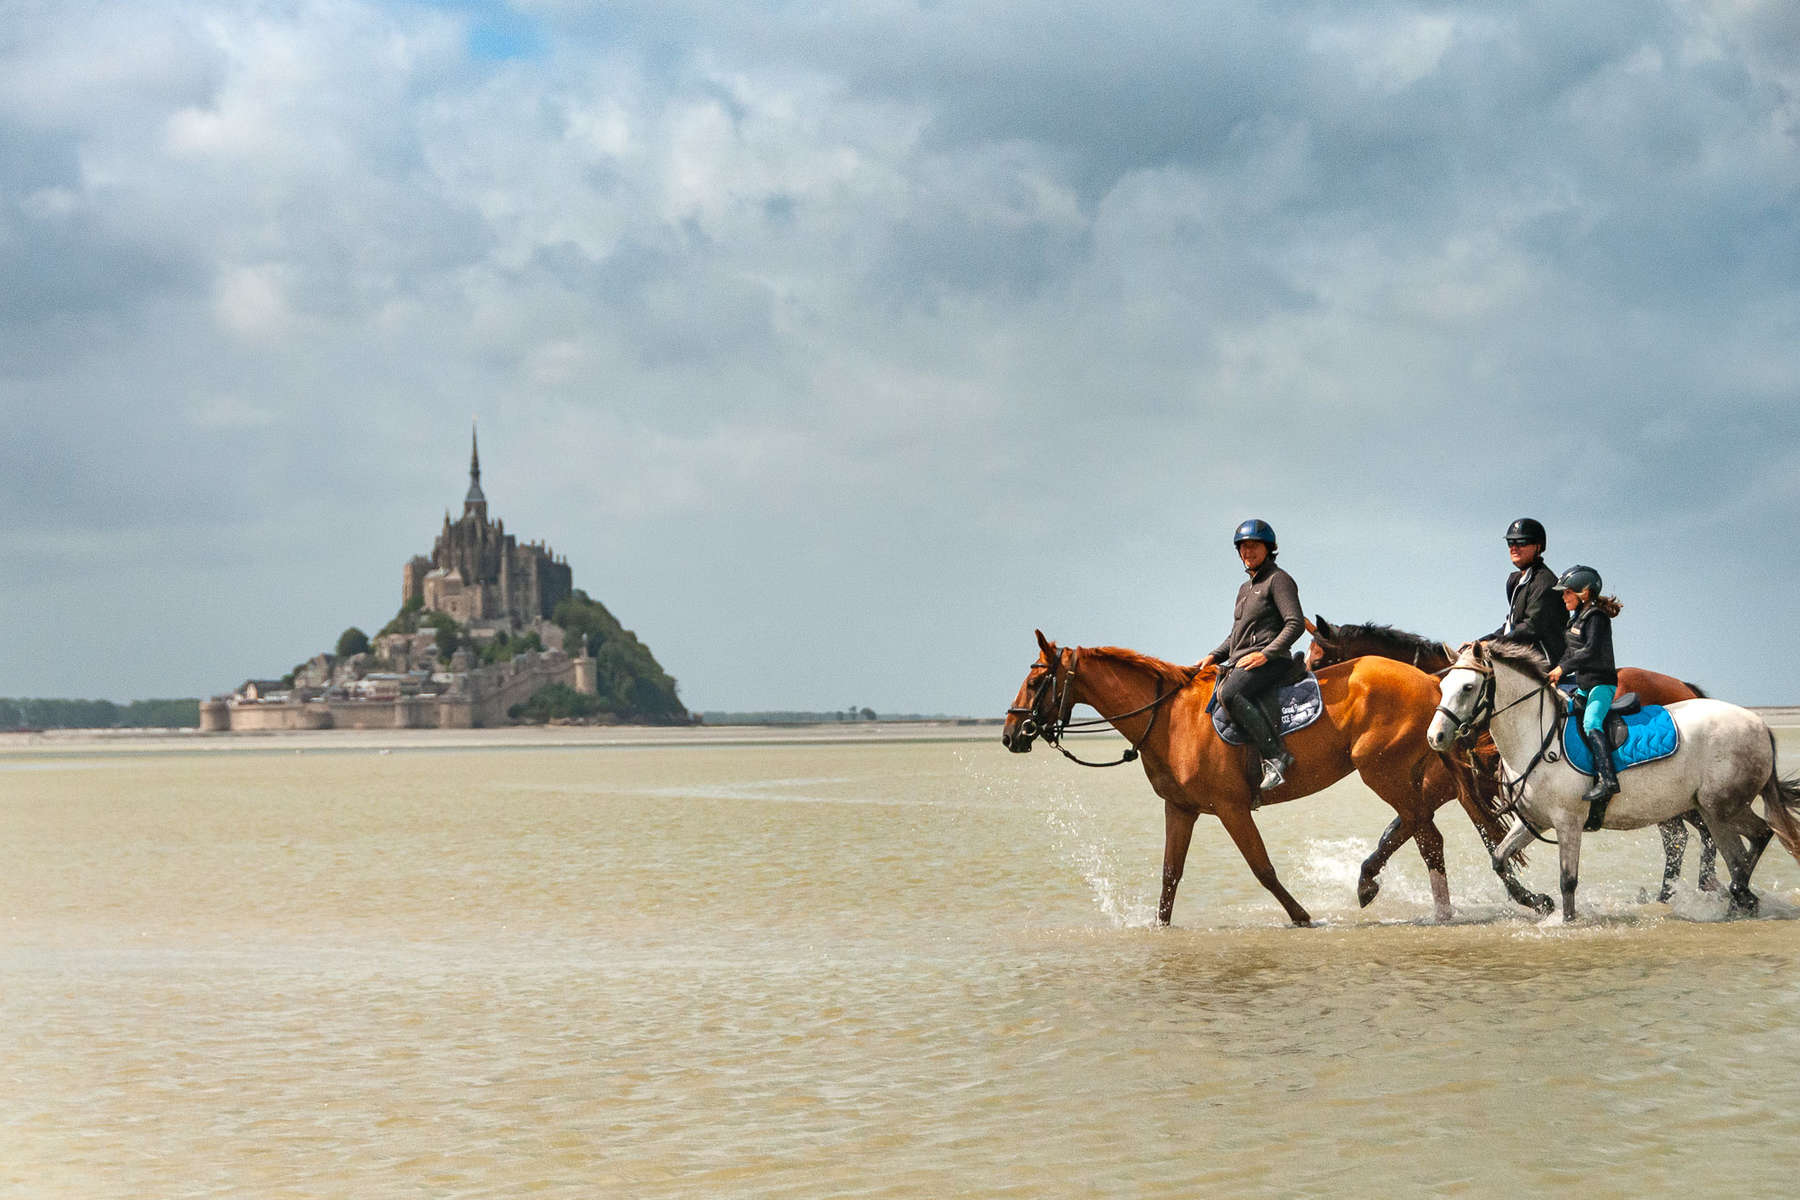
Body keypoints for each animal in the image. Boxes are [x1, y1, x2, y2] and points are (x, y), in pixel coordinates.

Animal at [1000, 629, 1548, 928]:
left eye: (1036, 680)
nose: (1009, 734)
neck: (1169, 719)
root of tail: (1432, 683)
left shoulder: (1230, 809)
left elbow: (1262, 868)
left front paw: (1303, 917)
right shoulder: (1181, 809)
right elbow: (1170, 874)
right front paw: (1160, 927)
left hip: (1383, 771)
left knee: (1425, 831)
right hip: (1409, 774)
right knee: (1424, 829)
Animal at [1310, 618, 1713, 899]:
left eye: (1316, 661)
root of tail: (1684, 686)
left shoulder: (1454, 791)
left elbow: (1434, 832)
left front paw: (1527, 897)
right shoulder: (1442, 790)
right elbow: (1398, 831)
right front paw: (1366, 881)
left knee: (1697, 833)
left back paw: (1704, 890)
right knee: (1679, 837)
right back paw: (1671, 894)